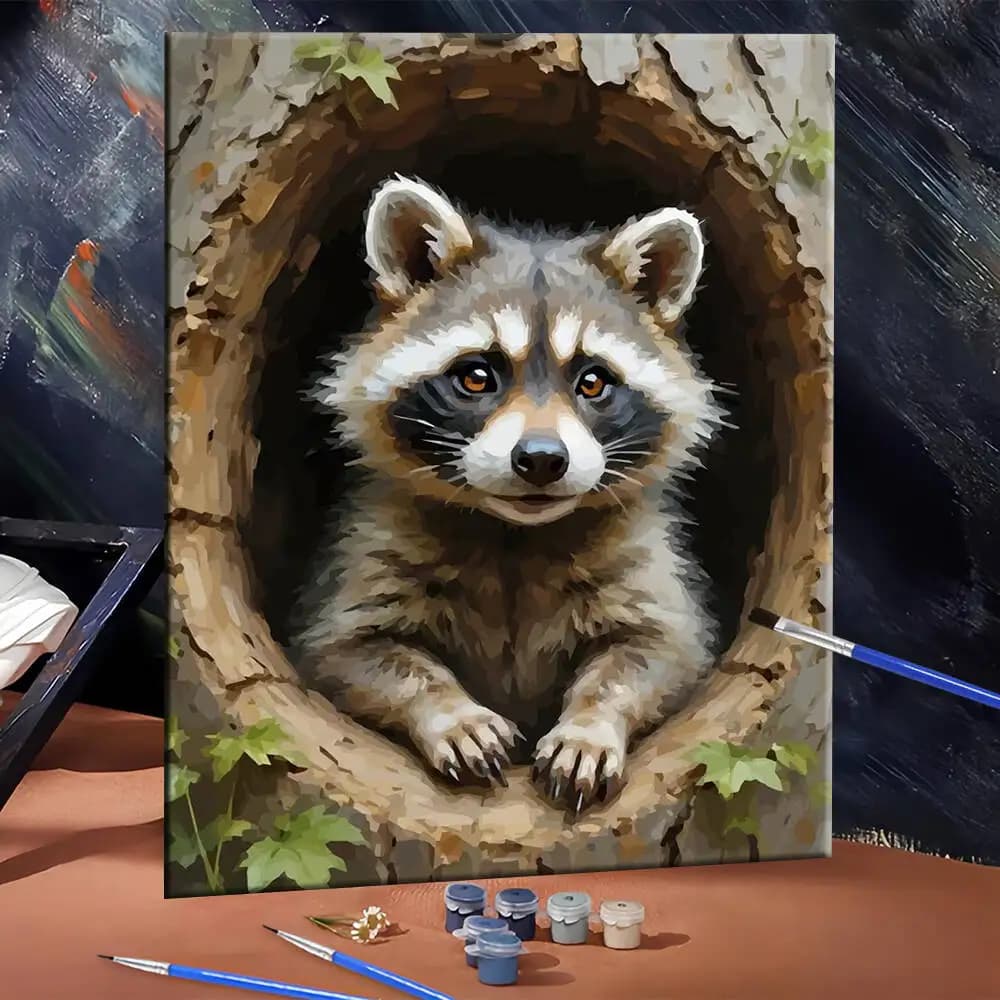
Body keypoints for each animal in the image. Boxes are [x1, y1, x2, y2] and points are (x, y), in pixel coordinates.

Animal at [293, 176, 725, 816]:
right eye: (477, 376)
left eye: (592, 382)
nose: (542, 459)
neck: (515, 531)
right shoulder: (363, 548)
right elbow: (350, 652)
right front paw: (449, 710)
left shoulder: (649, 560)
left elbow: (659, 652)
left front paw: (591, 723)